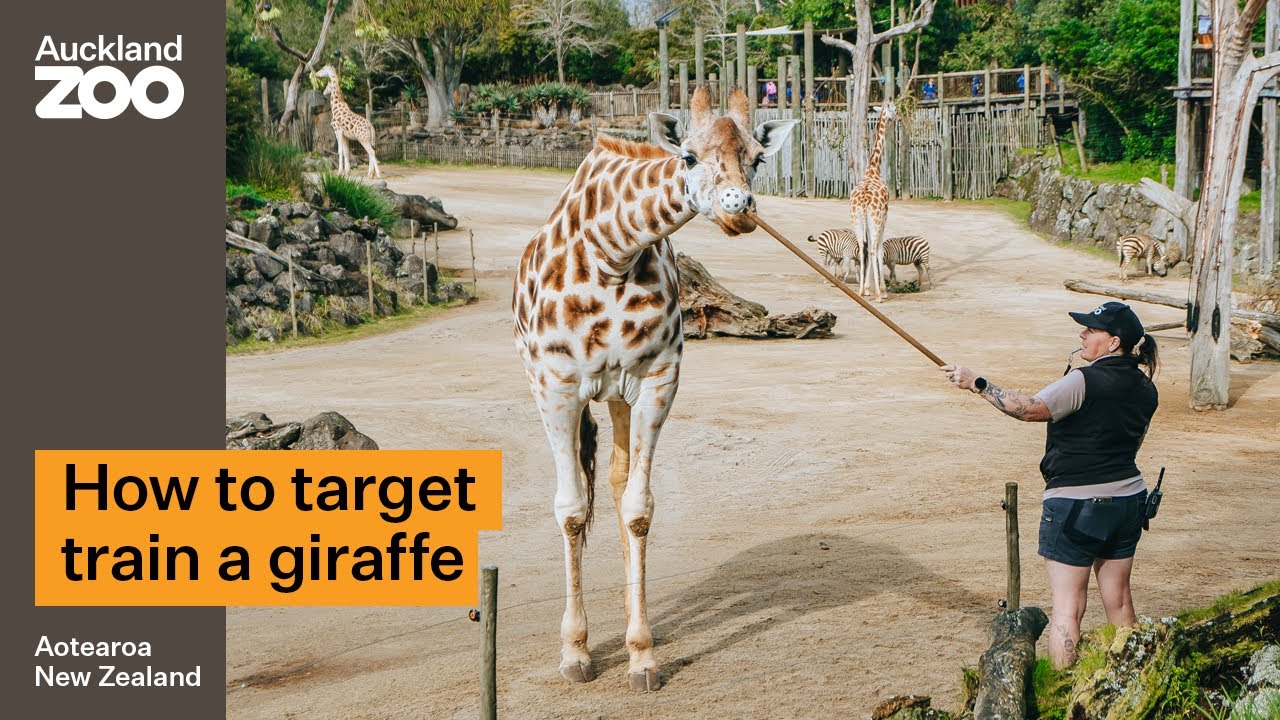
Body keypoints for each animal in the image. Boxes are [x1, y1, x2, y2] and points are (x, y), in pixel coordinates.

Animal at [513, 87, 794, 691]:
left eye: (759, 158)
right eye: (687, 156)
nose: (739, 209)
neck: (612, 253)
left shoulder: (658, 378)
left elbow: (638, 508)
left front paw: (641, 655)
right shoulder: (557, 383)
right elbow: (571, 509)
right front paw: (575, 652)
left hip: (619, 395)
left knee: (619, 483)